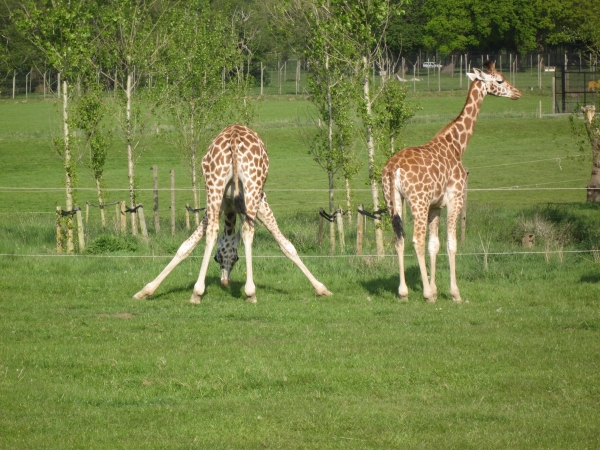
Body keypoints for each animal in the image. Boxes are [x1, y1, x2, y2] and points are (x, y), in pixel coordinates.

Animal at [134, 125, 332, 304]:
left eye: (234, 258)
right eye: (218, 258)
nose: (224, 282)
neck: (230, 207)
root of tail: (234, 138)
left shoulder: (223, 205)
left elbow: (186, 246)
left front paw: (145, 290)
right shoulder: (259, 201)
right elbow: (286, 245)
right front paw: (322, 288)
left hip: (215, 187)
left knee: (214, 231)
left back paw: (198, 293)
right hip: (251, 187)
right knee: (247, 230)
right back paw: (249, 292)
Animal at [384, 62, 520, 302]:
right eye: (500, 80)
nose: (518, 93)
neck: (457, 145)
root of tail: (393, 169)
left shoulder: (435, 206)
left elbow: (434, 245)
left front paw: (436, 288)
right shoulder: (454, 198)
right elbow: (451, 244)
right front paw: (452, 292)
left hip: (393, 201)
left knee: (399, 240)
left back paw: (404, 292)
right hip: (417, 202)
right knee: (416, 240)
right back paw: (426, 294)